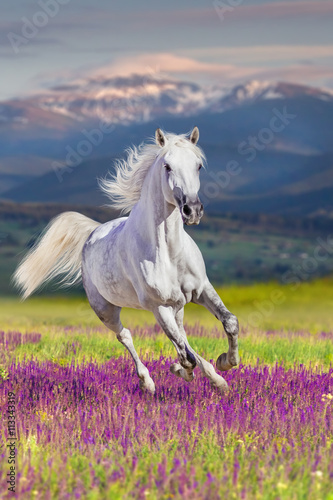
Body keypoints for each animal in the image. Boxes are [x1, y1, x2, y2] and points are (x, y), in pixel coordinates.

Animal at [14, 127, 239, 392]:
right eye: (167, 166)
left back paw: (216, 379)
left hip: (178, 306)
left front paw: (225, 363)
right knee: (127, 335)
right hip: (106, 309)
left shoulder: (201, 290)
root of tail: (93, 232)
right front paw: (182, 370)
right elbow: (185, 355)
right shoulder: (158, 306)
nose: (192, 210)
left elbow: (229, 322)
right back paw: (148, 382)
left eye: (199, 165)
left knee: (182, 335)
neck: (169, 253)